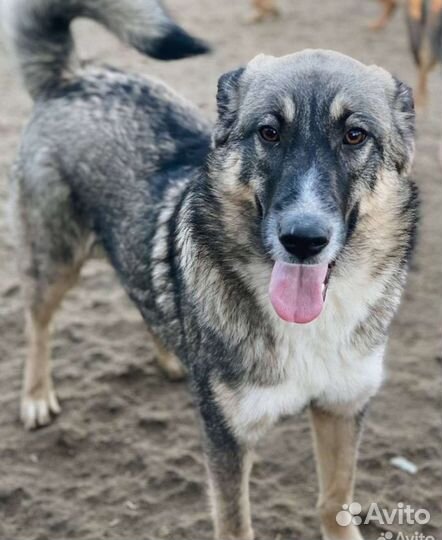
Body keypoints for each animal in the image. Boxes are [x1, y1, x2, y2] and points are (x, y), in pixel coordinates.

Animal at [4, 1, 418, 540]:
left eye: (355, 135)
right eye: (269, 132)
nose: (303, 239)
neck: (309, 326)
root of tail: (72, 78)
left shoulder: (342, 408)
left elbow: (334, 503)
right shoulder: (227, 437)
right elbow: (235, 524)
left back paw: (171, 355)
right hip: (55, 259)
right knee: (38, 321)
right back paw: (36, 395)